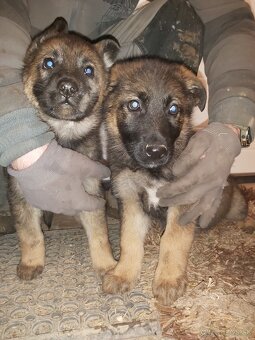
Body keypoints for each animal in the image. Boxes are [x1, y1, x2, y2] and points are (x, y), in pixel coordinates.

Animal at [7, 15, 119, 280]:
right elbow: (31, 235)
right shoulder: (21, 195)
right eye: (48, 63)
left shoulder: (90, 194)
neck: (62, 132)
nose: (67, 87)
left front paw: (107, 265)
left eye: (88, 70)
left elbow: (99, 235)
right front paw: (31, 263)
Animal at [102, 57, 248, 306]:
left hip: (237, 203)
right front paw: (123, 274)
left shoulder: (183, 203)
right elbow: (129, 240)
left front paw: (168, 280)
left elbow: (172, 241)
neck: (151, 172)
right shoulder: (130, 201)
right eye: (134, 105)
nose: (156, 151)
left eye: (173, 109)